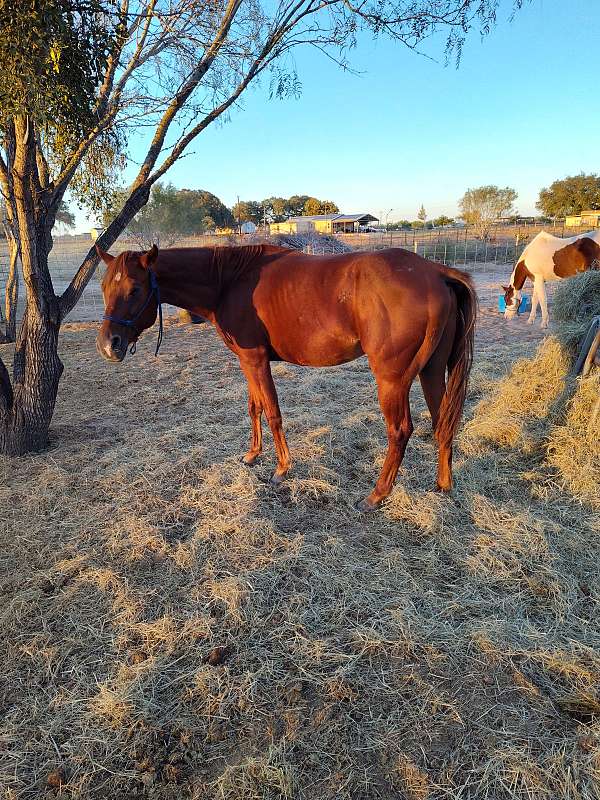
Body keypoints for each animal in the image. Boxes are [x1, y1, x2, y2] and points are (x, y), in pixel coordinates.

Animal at [96, 244, 476, 510]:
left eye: (134, 289)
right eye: (103, 287)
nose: (108, 345)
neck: (229, 281)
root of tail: (436, 272)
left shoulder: (256, 360)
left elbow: (273, 412)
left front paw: (281, 468)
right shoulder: (247, 361)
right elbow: (255, 407)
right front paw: (253, 454)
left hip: (392, 381)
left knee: (399, 432)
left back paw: (377, 495)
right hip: (431, 371)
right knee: (443, 423)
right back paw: (443, 486)